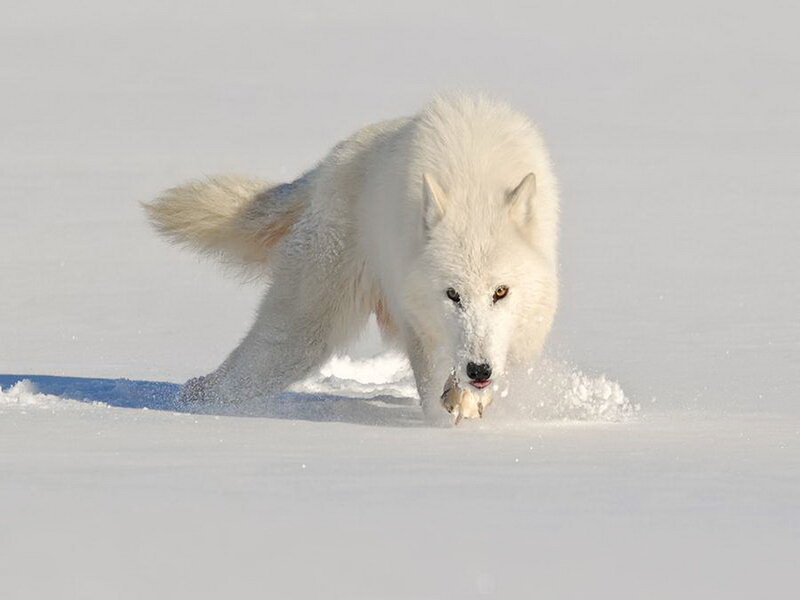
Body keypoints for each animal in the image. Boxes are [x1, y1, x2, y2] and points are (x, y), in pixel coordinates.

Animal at [145, 94, 559, 422]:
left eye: (501, 292)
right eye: (452, 295)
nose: (478, 370)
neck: (473, 184)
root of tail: (325, 167)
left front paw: (469, 398)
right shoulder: (418, 320)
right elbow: (434, 381)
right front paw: (455, 405)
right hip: (301, 338)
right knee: (230, 380)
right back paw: (186, 401)